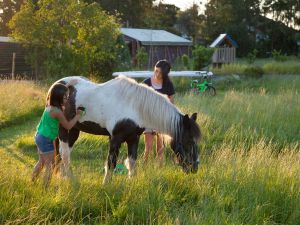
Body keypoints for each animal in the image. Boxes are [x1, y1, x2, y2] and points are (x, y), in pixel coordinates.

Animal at [54, 75, 202, 185]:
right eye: (188, 142)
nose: (194, 168)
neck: (134, 106)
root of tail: (57, 84)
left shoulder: (133, 138)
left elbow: (131, 162)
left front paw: (131, 183)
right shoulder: (115, 138)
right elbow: (111, 163)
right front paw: (106, 185)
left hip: (74, 129)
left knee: (61, 152)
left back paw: (61, 176)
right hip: (64, 129)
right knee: (64, 152)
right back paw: (70, 179)